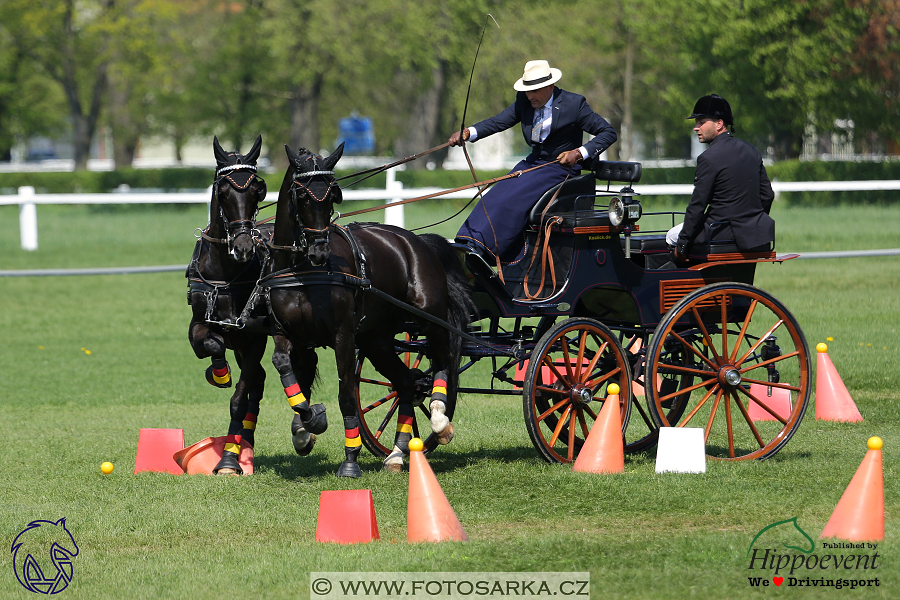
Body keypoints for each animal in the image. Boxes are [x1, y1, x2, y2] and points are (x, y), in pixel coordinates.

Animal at [264, 145, 474, 478]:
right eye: (302, 196)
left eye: (332, 195)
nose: (319, 251)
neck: (302, 272)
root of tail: (416, 240)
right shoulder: (288, 334)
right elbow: (286, 368)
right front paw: (308, 424)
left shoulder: (343, 337)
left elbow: (347, 395)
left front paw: (350, 460)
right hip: (377, 339)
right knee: (406, 383)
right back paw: (398, 453)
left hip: (431, 319)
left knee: (442, 362)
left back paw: (440, 421)